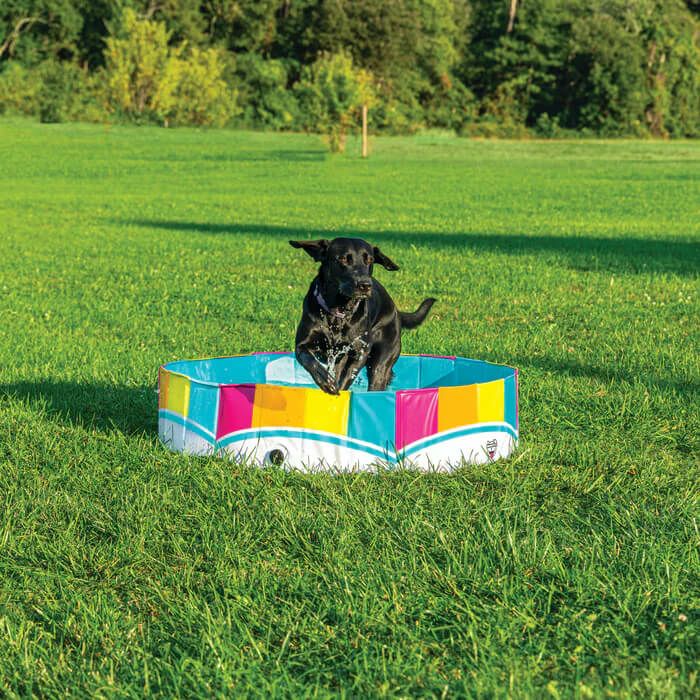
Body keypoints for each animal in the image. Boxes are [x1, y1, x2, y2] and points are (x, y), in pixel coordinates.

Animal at [290, 237, 436, 394]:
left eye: (370, 260)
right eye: (343, 259)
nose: (365, 285)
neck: (339, 312)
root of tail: (396, 312)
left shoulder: (360, 352)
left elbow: (346, 379)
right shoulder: (302, 344)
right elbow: (309, 360)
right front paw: (325, 379)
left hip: (382, 360)